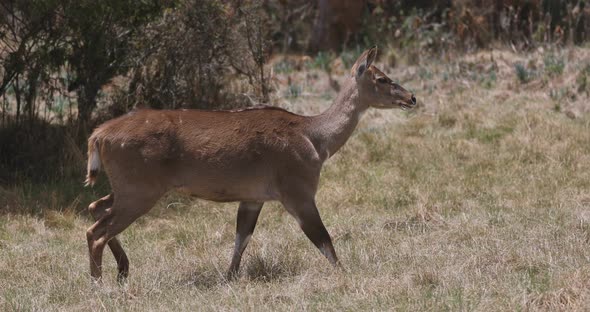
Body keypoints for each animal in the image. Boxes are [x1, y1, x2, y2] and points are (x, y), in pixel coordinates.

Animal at [85, 47, 418, 282]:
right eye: (381, 78)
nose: (412, 97)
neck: (315, 140)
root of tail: (98, 135)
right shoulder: (297, 190)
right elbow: (323, 238)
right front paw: (345, 275)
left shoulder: (253, 197)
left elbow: (241, 240)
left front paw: (229, 278)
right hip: (140, 189)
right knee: (96, 231)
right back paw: (99, 283)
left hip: (128, 187)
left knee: (95, 208)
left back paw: (123, 271)